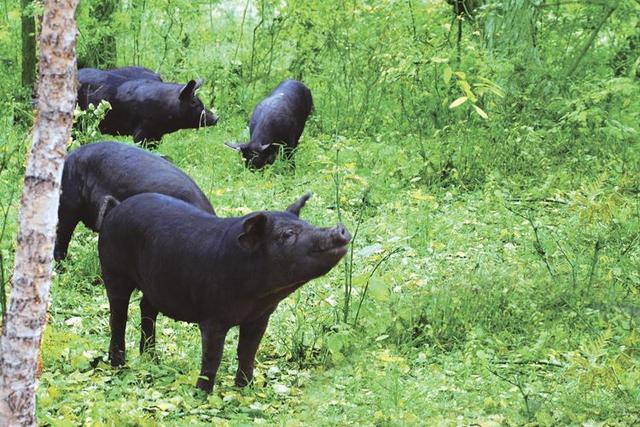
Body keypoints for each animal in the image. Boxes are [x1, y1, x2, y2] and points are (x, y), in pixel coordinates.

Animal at [97, 194, 350, 394]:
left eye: (307, 223)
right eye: (287, 234)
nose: (340, 229)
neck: (259, 296)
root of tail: (116, 207)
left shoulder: (260, 317)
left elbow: (248, 351)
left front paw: (245, 389)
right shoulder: (213, 316)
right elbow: (213, 356)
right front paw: (202, 394)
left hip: (153, 283)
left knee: (146, 308)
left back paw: (151, 358)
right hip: (113, 270)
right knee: (118, 316)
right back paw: (119, 364)